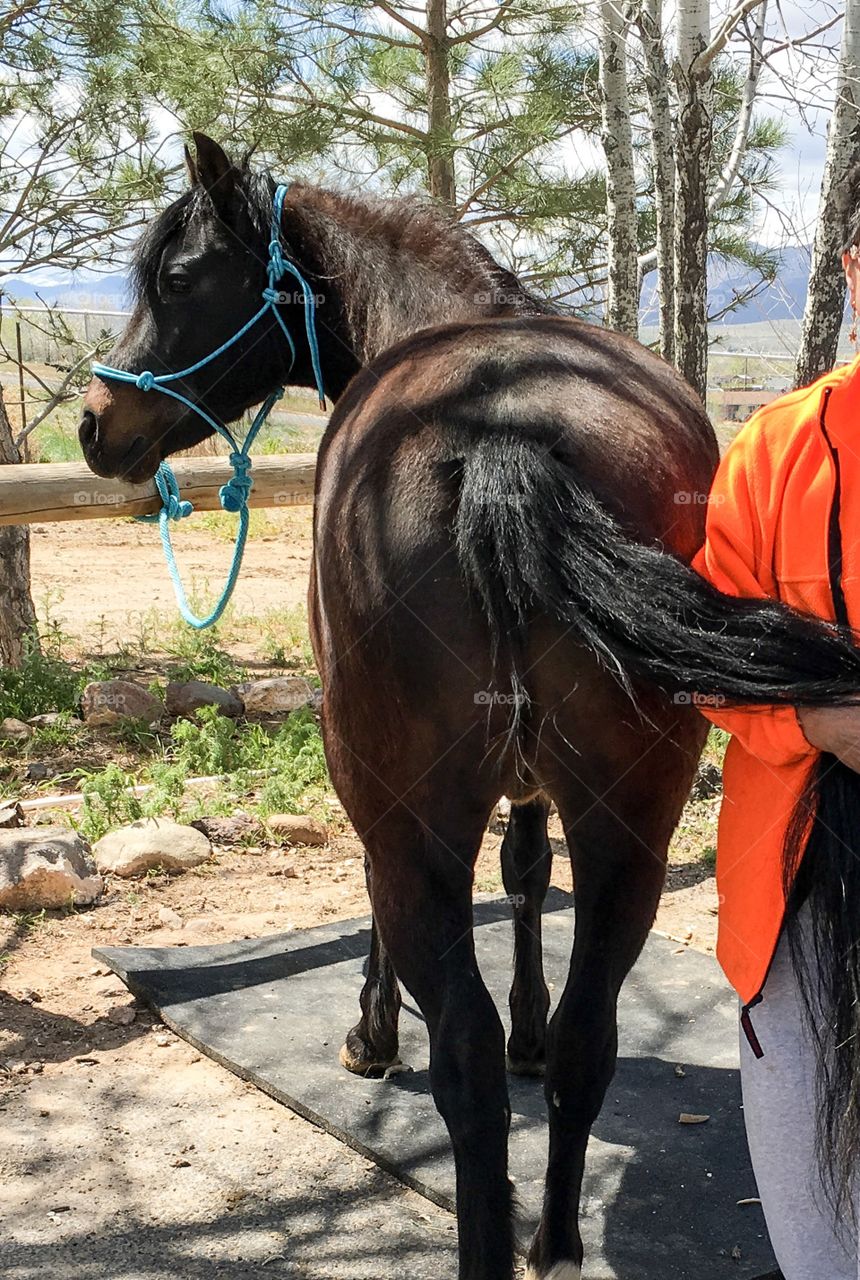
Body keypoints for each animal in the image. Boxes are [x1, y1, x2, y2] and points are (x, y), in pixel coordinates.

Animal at [80, 135, 860, 1274]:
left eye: (177, 279)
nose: (96, 426)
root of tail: (505, 434)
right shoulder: (538, 789)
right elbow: (530, 877)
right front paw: (528, 1023)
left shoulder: (382, 804)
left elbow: (387, 904)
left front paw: (369, 1034)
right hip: (632, 828)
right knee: (587, 1041)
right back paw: (556, 1229)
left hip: (414, 821)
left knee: (465, 1063)